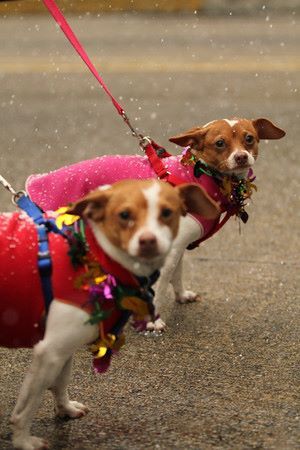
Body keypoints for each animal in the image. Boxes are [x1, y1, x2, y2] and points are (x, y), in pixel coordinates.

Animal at [0, 179, 220, 450]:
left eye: (167, 212)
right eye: (124, 215)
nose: (148, 241)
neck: (93, 254)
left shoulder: (62, 348)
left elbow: (61, 381)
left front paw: (65, 409)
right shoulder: (48, 351)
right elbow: (27, 406)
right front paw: (23, 440)